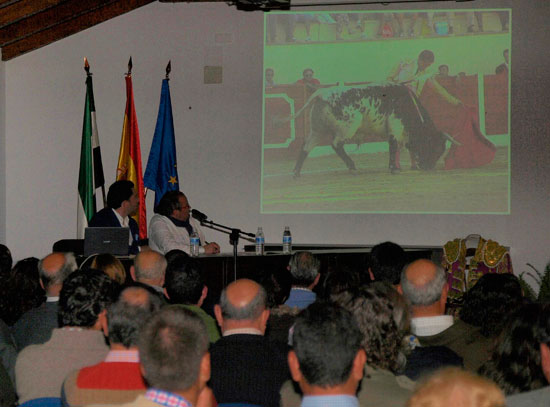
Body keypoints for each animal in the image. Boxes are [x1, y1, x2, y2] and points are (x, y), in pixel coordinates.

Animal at [294, 83, 452, 178]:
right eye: (436, 148)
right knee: (336, 145)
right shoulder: (395, 129)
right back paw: (352, 166)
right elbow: (393, 147)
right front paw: (394, 169)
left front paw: (395, 167)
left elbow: (394, 148)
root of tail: (322, 93)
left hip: (317, 130)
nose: (428, 167)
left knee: (306, 147)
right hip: (347, 128)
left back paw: (296, 172)